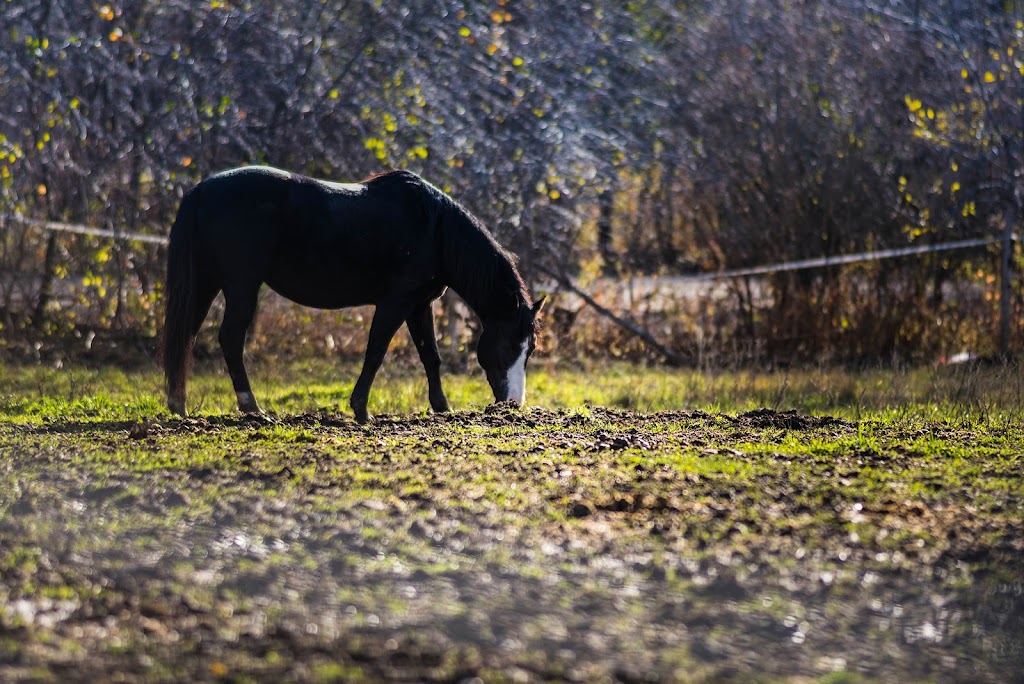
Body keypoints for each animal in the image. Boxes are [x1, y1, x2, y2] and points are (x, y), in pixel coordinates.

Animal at [161, 166, 544, 421]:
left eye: (530, 349)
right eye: (510, 345)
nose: (514, 403)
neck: (433, 228)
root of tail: (200, 191)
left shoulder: (419, 305)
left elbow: (430, 357)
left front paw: (442, 408)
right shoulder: (395, 303)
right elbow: (375, 353)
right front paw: (361, 411)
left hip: (207, 283)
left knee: (186, 335)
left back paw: (179, 406)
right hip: (241, 286)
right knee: (229, 338)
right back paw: (252, 407)